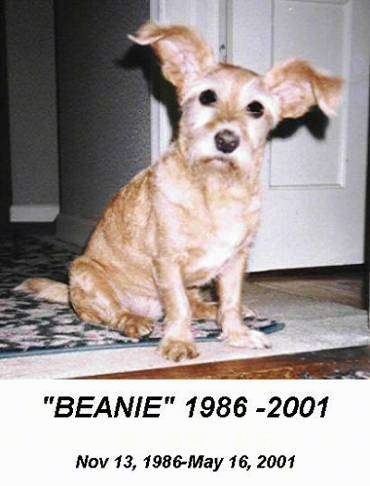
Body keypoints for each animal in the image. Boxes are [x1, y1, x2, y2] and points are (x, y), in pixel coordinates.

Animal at [15, 22, 342, 360]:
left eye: (256, 108)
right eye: (207, 96)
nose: (227, 140)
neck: (216, 187)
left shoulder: (235, 261)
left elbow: (230, 301)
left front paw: (237, 334)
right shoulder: (168, 261)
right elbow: (179, 306)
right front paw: (179, 342)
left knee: (201, 305)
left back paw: (219, 311)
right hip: (85, 273)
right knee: (112, 315)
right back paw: (134, 321)